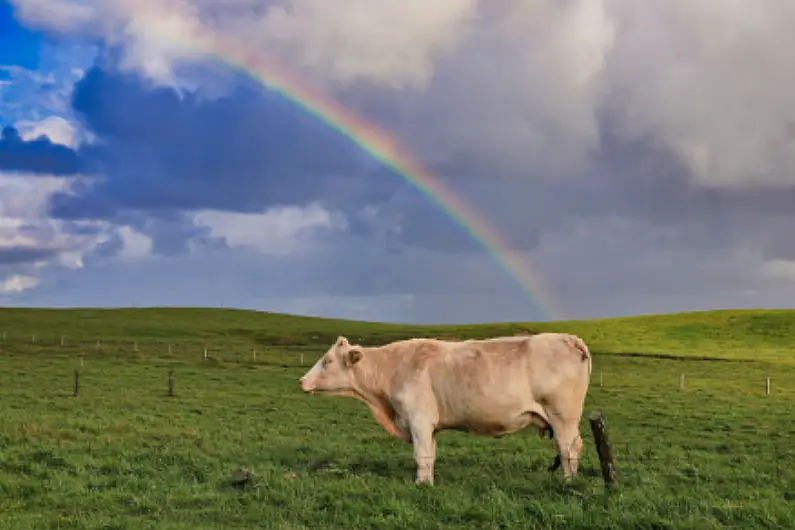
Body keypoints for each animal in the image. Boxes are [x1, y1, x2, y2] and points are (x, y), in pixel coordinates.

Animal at [296, 332, 592, 484]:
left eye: (327, 360)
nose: (301, 381)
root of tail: (569, 338)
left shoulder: (419, 420)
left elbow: (420, 455)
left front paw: (421, 484)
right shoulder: (431, 426)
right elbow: (430, 455)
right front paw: (427, 481)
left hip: (563, 416)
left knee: (569, 449)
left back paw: (568, 482)